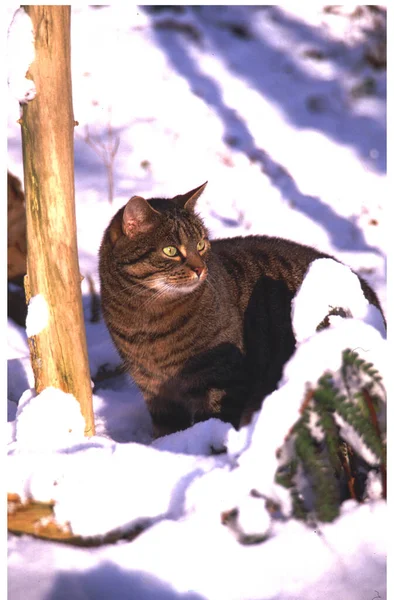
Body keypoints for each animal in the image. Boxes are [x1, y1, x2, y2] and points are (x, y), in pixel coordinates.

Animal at [99, 182, 384, 436]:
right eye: (170, 250)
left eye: (201, 245)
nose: (200, 268)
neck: (147, 317)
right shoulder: (154, 389)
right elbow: (166, 432)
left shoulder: (223, 379)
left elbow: (215, 423)